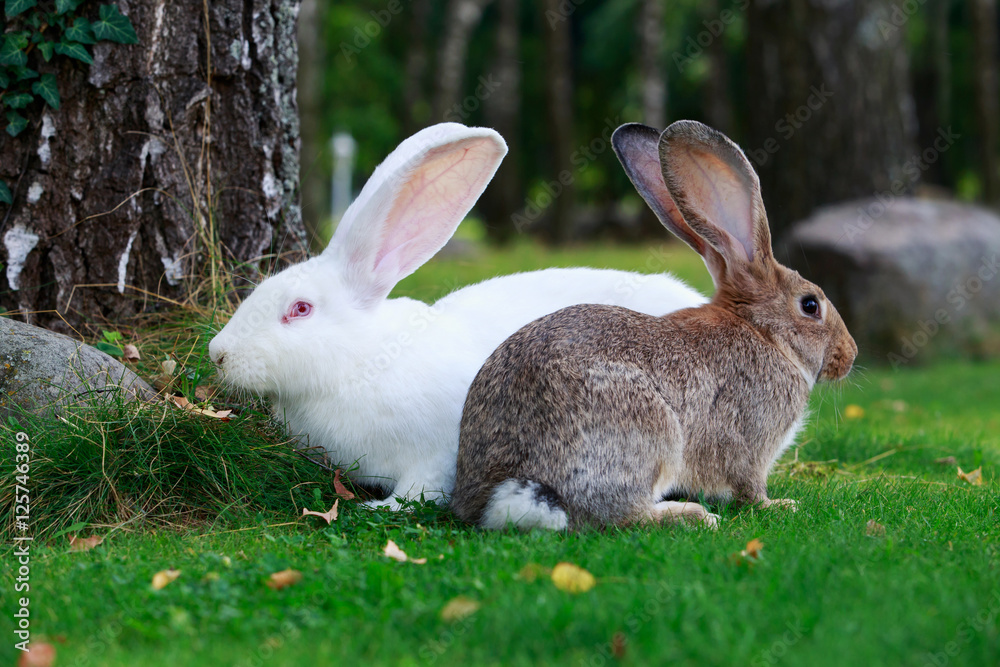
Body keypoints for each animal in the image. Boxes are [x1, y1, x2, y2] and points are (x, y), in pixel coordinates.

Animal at [208, 122, 707, 509]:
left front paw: (383, 508)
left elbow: (421, 490)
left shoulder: (438, 452)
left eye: (300, 309)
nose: (218, 354)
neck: (364, 357)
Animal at [452, 120, 857, 531]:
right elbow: (749, 488)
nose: (850, 355)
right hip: (648, 433)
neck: (764, 334)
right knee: (621, 514)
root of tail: (507, 490)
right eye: (810, 305)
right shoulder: (748, 440)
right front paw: (781, 505)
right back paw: (693, 516)